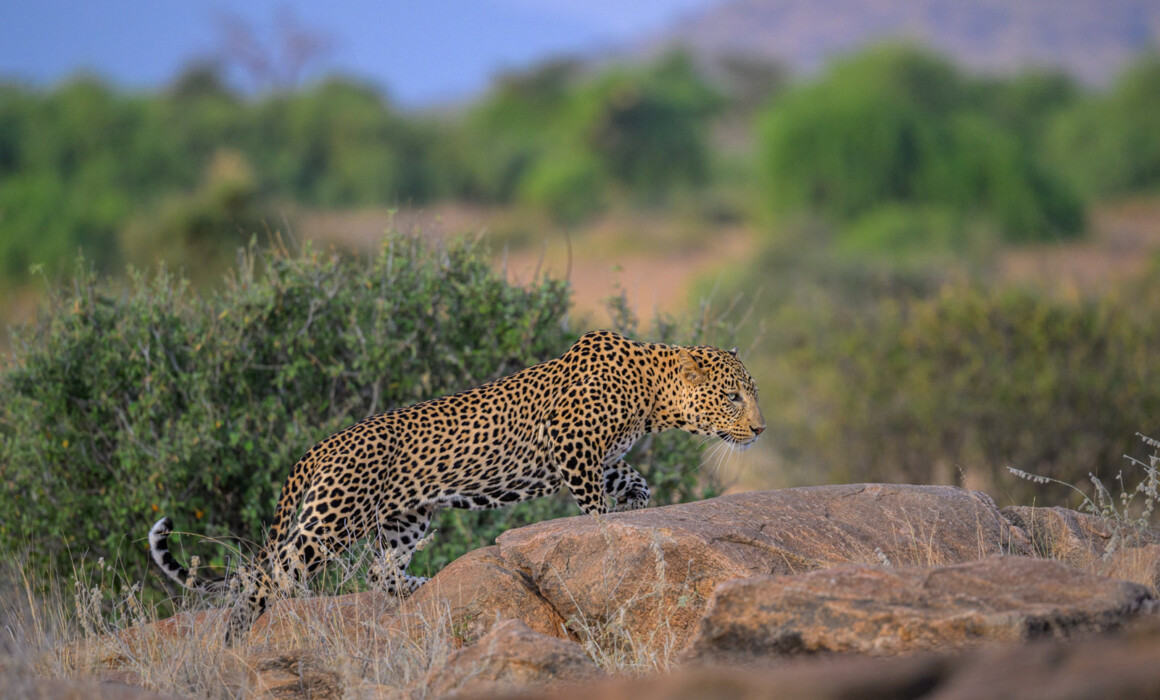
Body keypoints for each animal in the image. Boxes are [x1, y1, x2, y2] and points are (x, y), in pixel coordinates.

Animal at [148, 329, 765, 644]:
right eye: (733, 396)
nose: (761, 430)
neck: (651, 394)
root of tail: (322, 445)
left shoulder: (600, 456)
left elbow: (632, 477)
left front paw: (636, 502)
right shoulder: (572, 446)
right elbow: (592, 503)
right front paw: (603, 525)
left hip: (406, 517)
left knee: (378, 569)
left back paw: (416, 586)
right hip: (333, 516)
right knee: (273, 571)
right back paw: (248, 629)